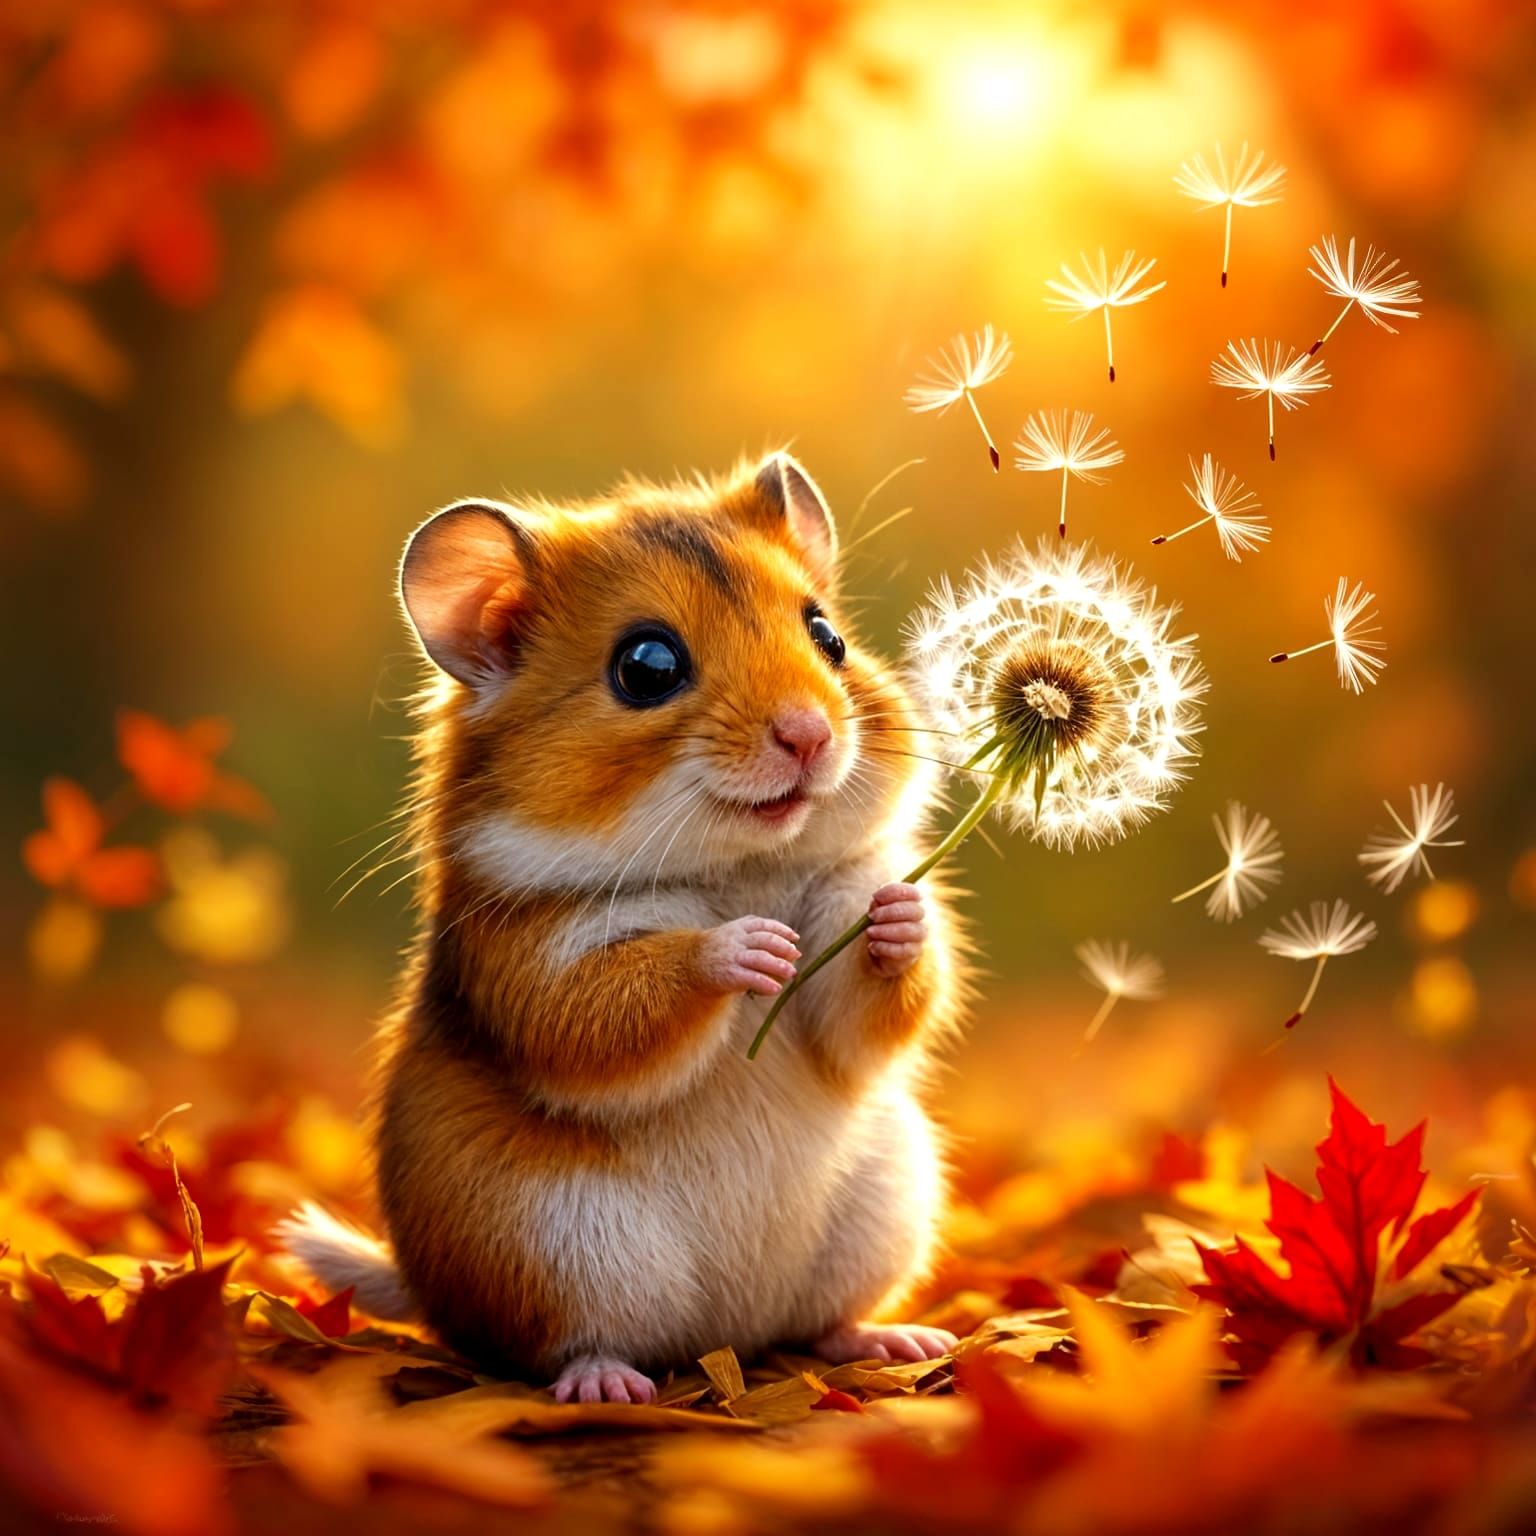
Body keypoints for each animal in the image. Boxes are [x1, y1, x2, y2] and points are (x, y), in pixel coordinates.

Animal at [279, 452, 968, 1403]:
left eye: (826, 634)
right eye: (647, 665)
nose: (811, 736)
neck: (740, 868)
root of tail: (727, 1336)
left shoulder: (845, 927)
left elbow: (867, 1003)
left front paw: (897, 915)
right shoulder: (534, 967)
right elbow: (626, 1001)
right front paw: (754, 946)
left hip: (887, 1200)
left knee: (817, 1325)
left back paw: (896, 1340)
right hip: (550, 1246)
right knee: (567, 1346)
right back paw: (608, 1386)